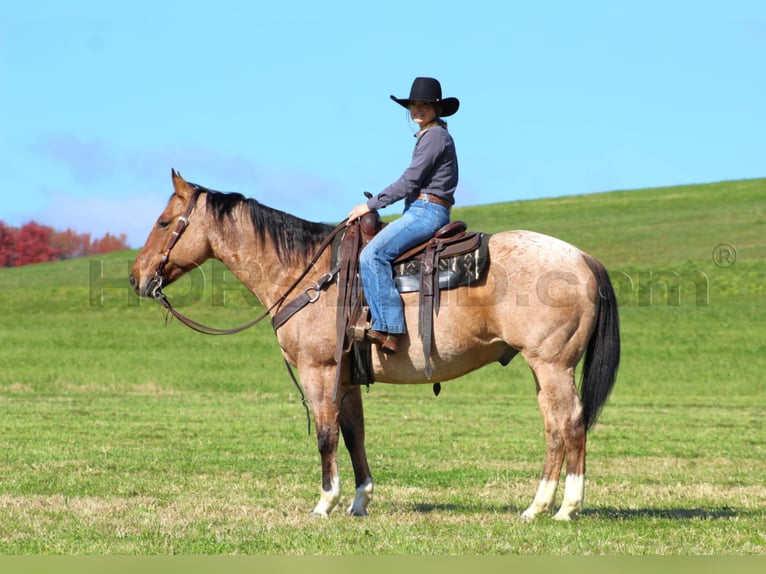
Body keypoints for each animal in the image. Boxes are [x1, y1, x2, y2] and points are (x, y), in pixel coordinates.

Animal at [129, 170, 620, 520]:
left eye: (164, 222)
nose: (137, 278)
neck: (309, 275)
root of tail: (584, 258)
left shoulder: (320, 371)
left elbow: (326, 436)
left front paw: (324, 502)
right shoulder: (347, 378)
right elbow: (353, 435)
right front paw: (360, 499)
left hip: (551, 365)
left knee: (569, 422)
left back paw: (561, 508)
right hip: (543, 369)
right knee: (555, 426)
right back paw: (541, 506)